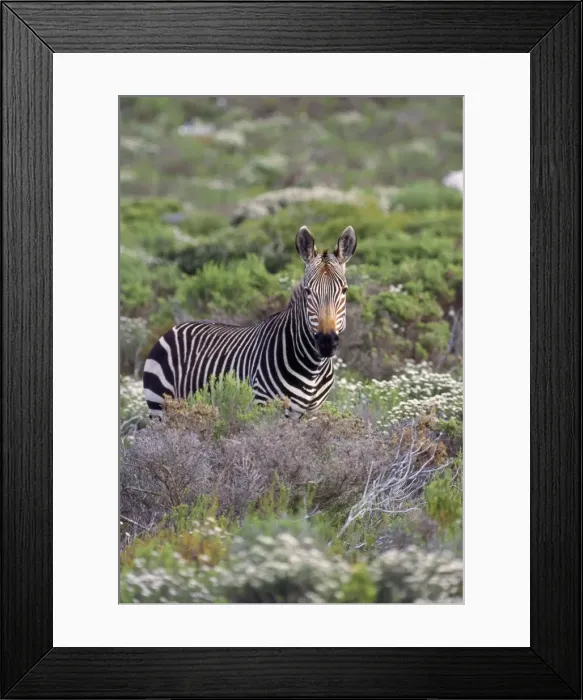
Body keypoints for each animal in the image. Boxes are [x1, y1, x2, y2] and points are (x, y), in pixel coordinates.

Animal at [143, 225, 357, 418]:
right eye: (308, 291)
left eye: (344, 290)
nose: (326, 342)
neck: (313, 369)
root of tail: (176, 327)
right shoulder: (263, 407)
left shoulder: (309, 414)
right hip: (159, 406)